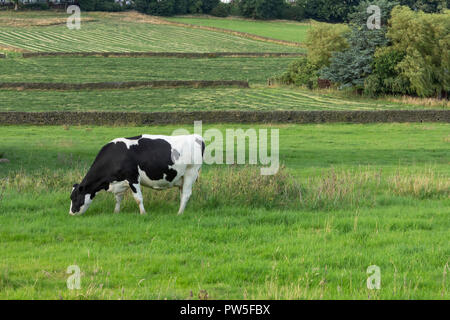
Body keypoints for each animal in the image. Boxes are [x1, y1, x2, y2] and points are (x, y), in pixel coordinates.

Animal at [69, 134, 205, 216]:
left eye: (75, 197)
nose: (71, 213)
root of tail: (196, 136)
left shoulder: (132, 178)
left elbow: (138, 198)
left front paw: (143, 213)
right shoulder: (119, 182)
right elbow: (118, 198)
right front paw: (116, 212)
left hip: (191, 173)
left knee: (186, 194)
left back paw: (179, 213)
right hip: (181, 177)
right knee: (182, 194)